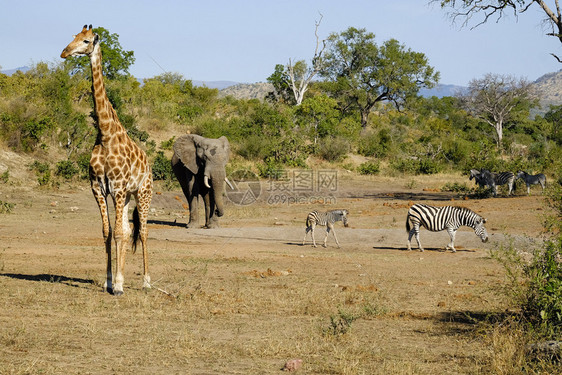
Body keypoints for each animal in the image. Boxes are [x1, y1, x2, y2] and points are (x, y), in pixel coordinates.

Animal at [60, 25, 152, 296]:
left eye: (87, 40)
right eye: (73, 37)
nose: (64, 52)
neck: (105, 134)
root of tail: (149, 164)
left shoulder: (118, 188)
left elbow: (120, 233)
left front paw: (119, 285)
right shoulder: (99, 188)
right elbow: (108, 232)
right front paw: (110, 281)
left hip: (143, 193)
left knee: (143, 231)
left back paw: (146, 281)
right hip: (129, 196)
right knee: (129, 229)